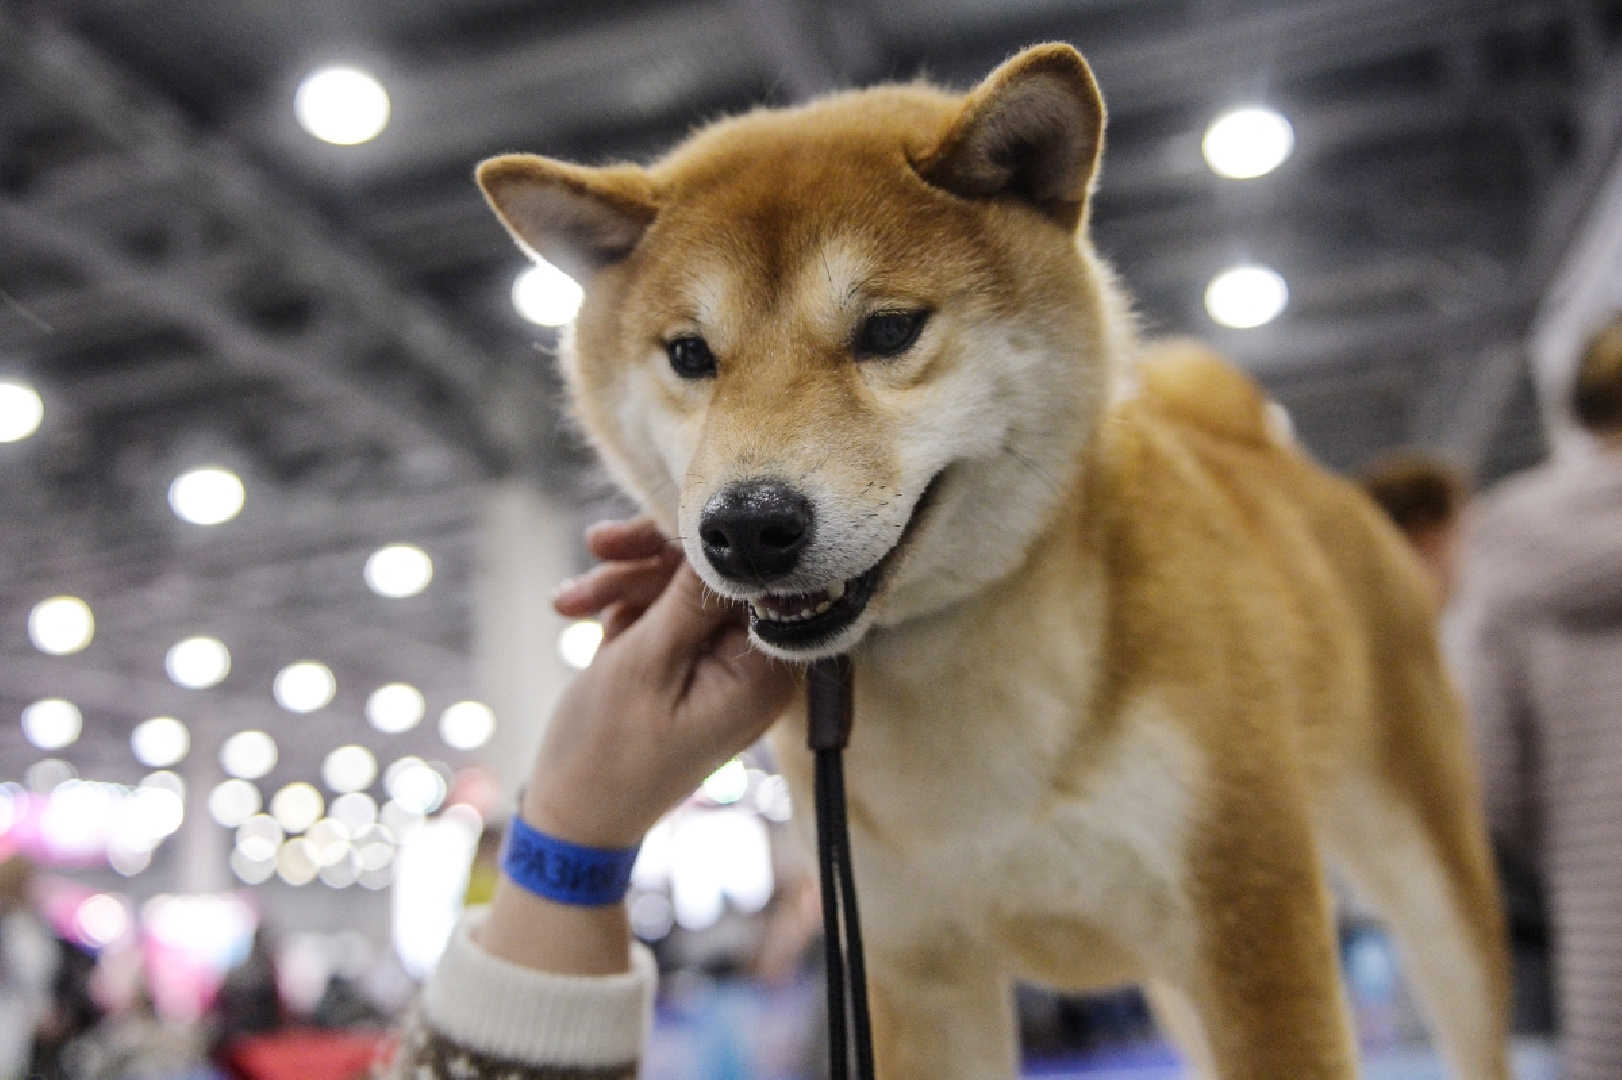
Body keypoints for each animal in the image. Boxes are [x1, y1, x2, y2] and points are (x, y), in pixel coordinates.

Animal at [476, 44, 1505, 1076]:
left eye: (889, 330)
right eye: (690, 353)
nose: (747, 527)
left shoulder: (1251, 929)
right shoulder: (913, 974)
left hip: (1425, 886)